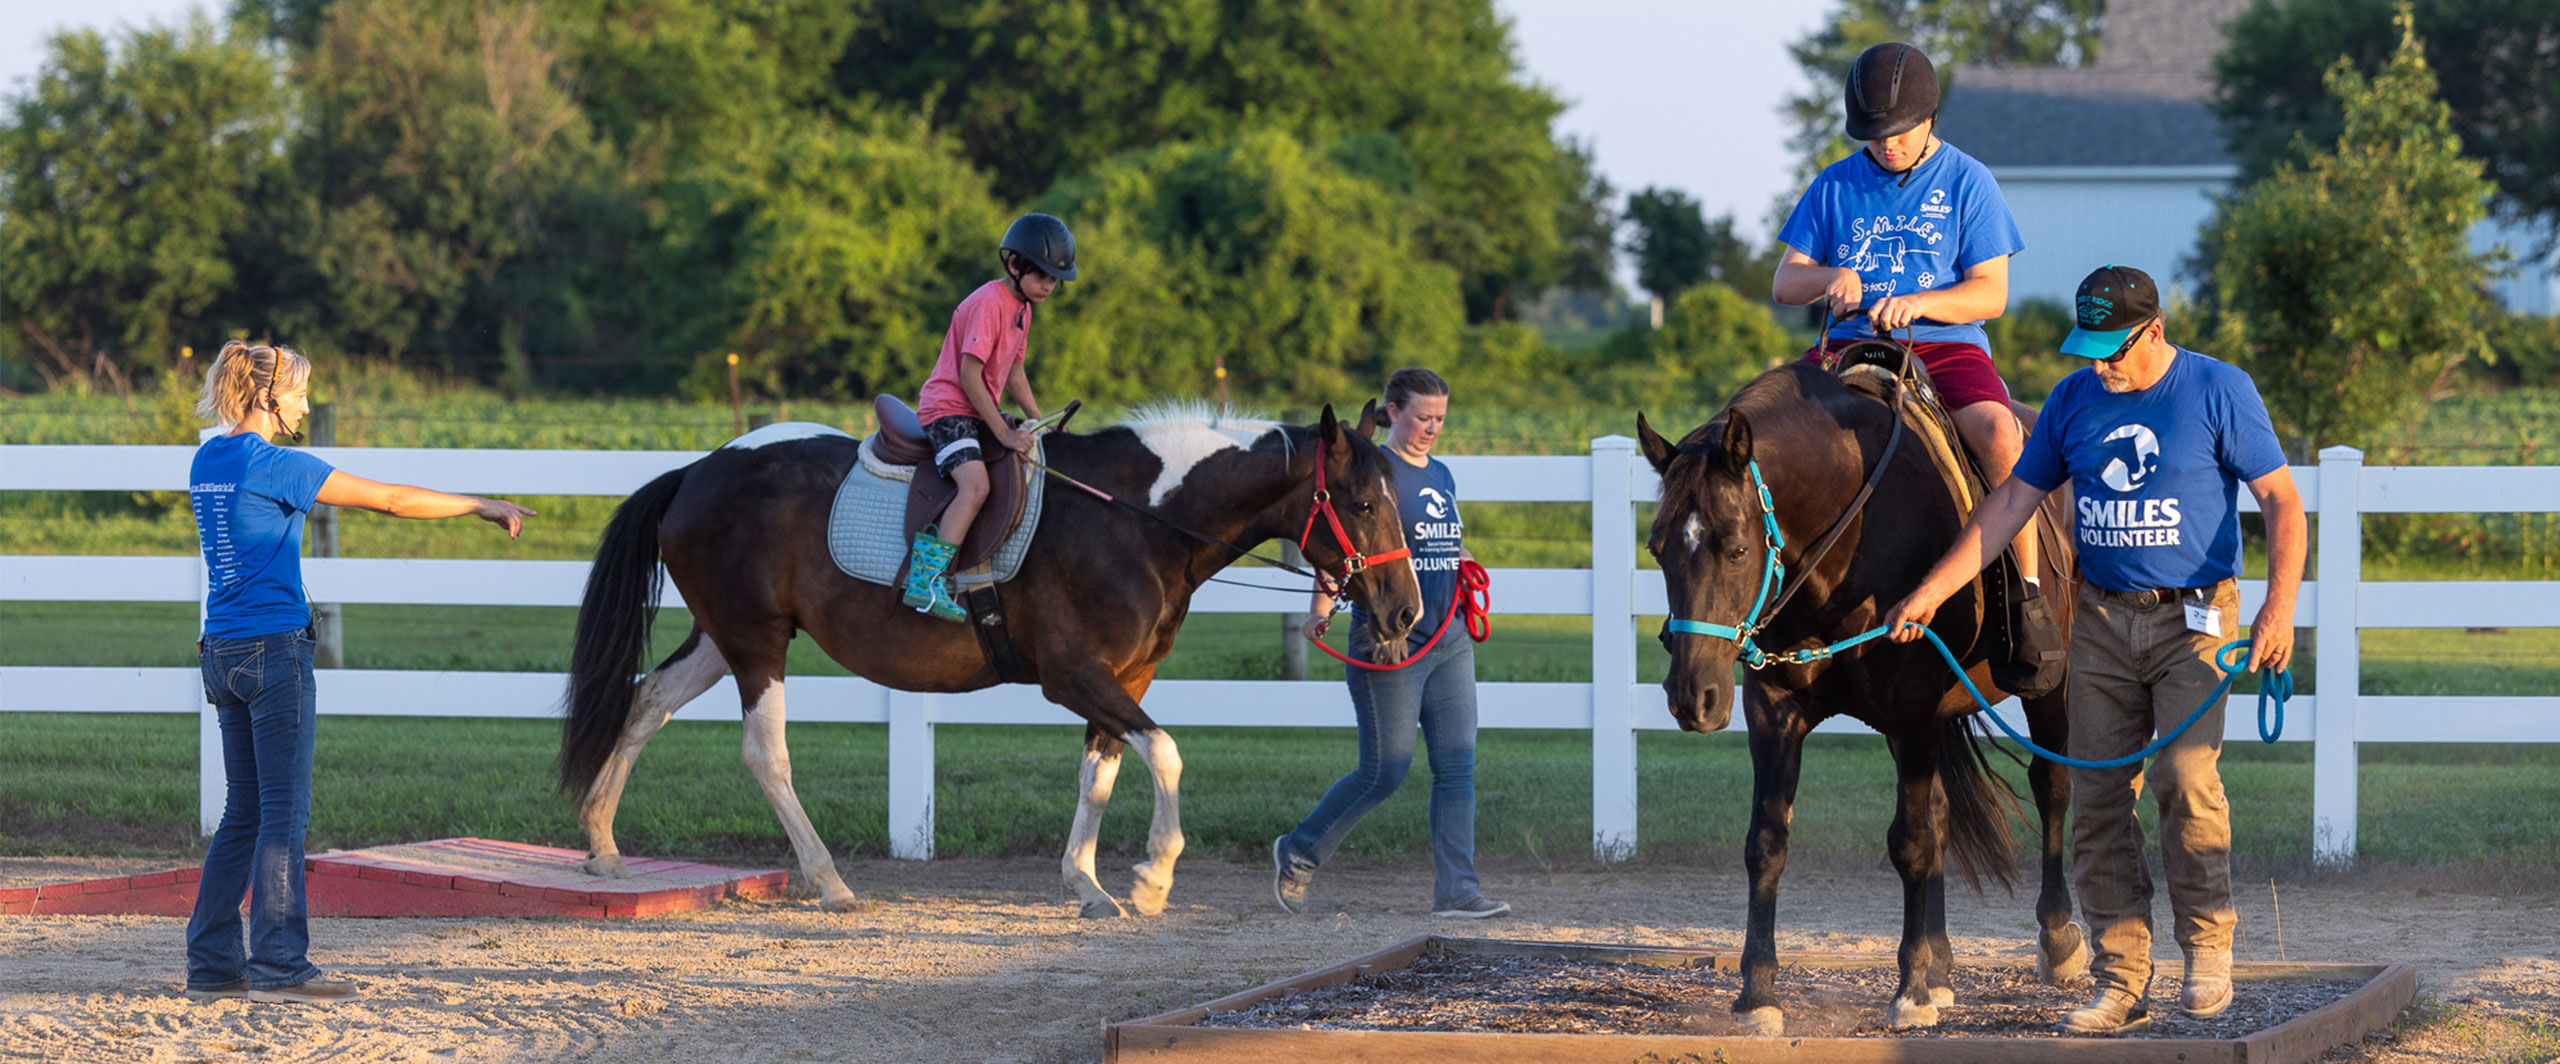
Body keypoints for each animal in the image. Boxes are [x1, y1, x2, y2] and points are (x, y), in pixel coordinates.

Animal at [556, 402, 1422, 918]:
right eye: (1363, 504)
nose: (1405, 612)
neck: (1138, 521)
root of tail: (697, 469)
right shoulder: (1075, 677)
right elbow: (1167, 754)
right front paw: (1152, 877)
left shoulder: (1121, 680)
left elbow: (1101, 771)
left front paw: (1087, 883)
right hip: (757, 642)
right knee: (764, 754)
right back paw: (829, 881)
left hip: (720, 636)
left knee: (646, 702)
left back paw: (602, 845)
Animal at [1636, 360, 2087, 1035]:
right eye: (1657, 547)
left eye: (1737, 548)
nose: (1694, 696)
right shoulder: (1774, 710)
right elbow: (1767, 843)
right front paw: (1758, 992)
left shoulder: (1914, 709)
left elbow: (1912, 843)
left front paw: (1910, 991)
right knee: (1943, 812)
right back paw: (1943, 967)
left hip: (2050, 686)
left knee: (2050, 786)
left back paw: (2056, 940)